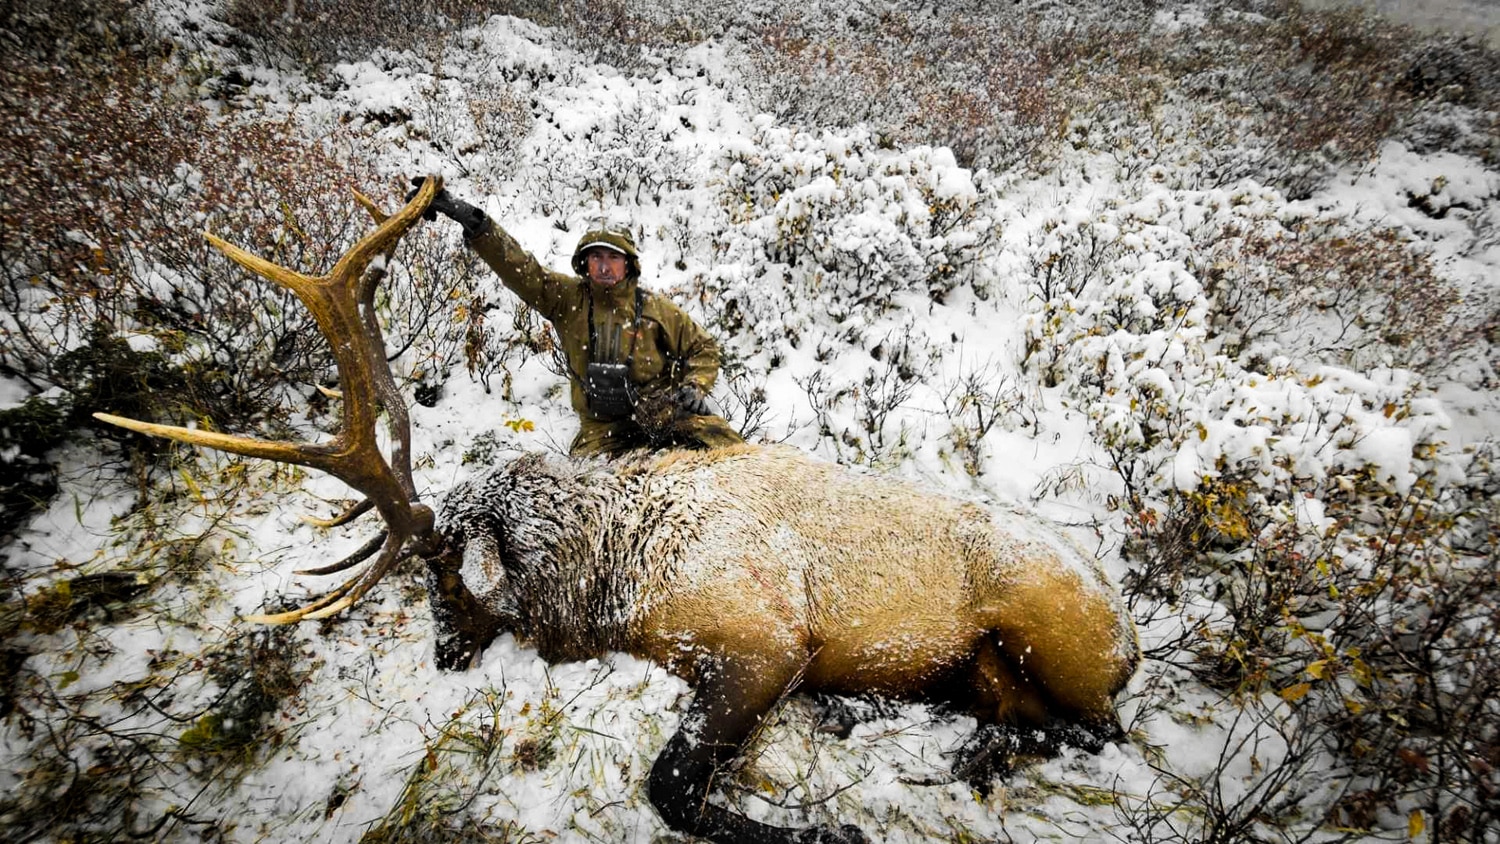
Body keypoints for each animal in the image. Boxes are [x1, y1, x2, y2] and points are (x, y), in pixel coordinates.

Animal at [96, 178, 1140, 844]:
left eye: (449, 579)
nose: (442, 655)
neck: (613, 576)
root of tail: (1130, 633)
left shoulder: (768, 638)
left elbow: (671, 786)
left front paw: (825, 831)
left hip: (1044, 625)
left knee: (1101, 729)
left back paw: (971, 748)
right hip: (998, 665)